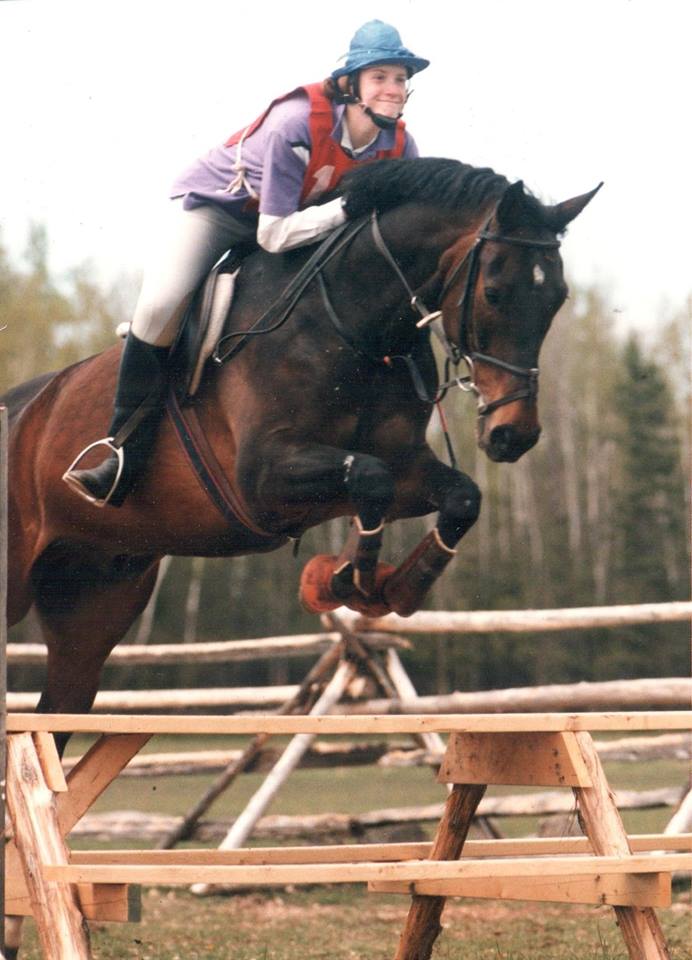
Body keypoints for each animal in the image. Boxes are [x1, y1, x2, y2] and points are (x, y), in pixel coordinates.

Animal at [4, 158, 600, 732]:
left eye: (558, 299)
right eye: (494, 294)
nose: (514, 434)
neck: (354, 330)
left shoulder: (404, 469)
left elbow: (455, 496)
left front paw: (390, 588)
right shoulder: (260, 481)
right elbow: (369, 477)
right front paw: (348, 580)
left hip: (95, 593)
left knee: (60, 707)